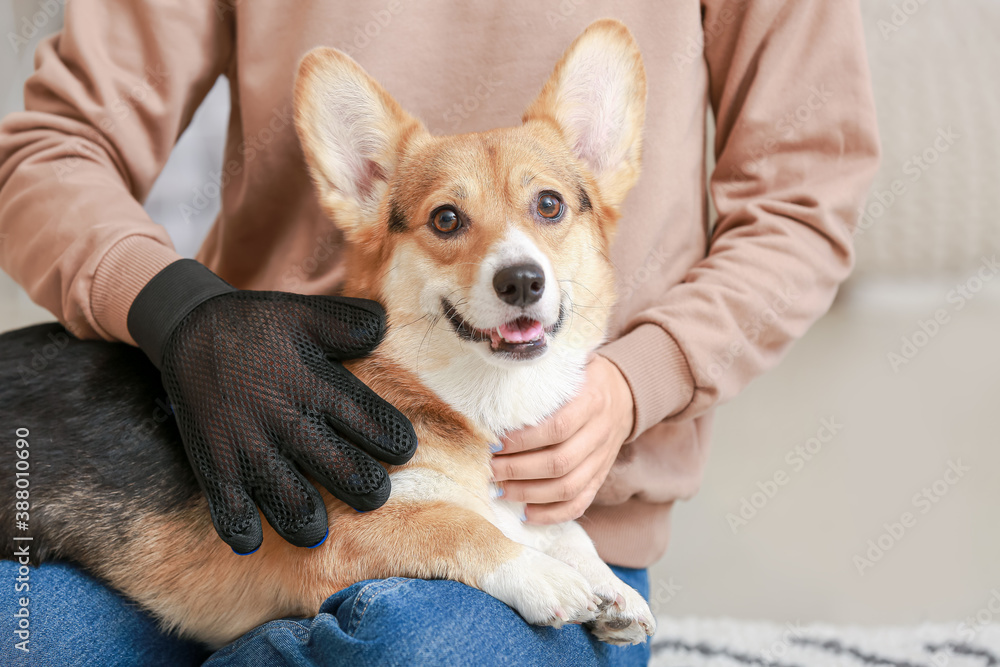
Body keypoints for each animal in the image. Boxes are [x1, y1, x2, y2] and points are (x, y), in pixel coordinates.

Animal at [0, 19, 656, 648]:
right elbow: (460, 527)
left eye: (548, 205)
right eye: (446, 219)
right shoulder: (337, 533)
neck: (474, 400)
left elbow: (561, 528)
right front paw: (547, 576)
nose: (521, 281)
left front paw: (609, 584)